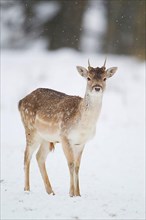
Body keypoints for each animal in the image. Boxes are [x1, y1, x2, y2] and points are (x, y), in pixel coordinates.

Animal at [18, 59, 117, 197]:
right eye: (88, 78)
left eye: (104, 78)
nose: (97, 88)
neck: (82, 126)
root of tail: (21, 101)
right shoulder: (64, 136)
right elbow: (70, 164)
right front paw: (71, 193)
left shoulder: (81, 142)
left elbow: (77, 166)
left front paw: (78, 193)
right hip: (31, 129)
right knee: (27, 156)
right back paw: (27, 189)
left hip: (46, 138)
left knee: (39, 157)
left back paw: (50, 191)